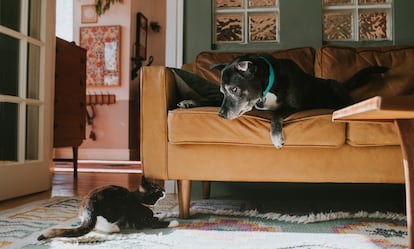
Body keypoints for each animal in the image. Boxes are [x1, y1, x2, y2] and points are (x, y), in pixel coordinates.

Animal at [36, 176, 176, 240]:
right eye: (157, 190)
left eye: (159, 187)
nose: (164, 191)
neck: (139, 200)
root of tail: (88, 205)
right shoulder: (143, 220)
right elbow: (156, 222)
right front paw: (174, 222)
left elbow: (159, 216)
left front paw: (168, 213)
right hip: (117, 208)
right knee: (102, 224)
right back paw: (115, 227)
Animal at [212, 53, 390, 149]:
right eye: (222, 92)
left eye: (234, 89)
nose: (221, 115)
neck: (270, 82)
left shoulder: (293, 106)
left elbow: (276, 114)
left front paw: (276, 137)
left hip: (335, 86)